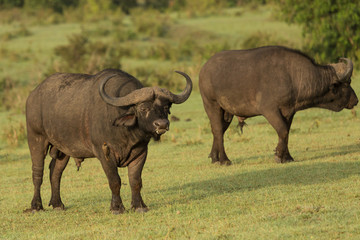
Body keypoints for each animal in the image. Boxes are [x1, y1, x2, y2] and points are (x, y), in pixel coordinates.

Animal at [24, 68, 194, 213]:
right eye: (143, 108)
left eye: (166, 107)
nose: (162, 124)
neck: (125, 133)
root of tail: (33, 96)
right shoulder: (104, 153)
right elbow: (115, 180)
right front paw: (117, 208)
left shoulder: (141, 153)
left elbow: (135, 180)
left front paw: (139, 206)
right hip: (36, 139)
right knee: (37, 172)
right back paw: (35, 206)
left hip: (63, 149)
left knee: (55, 172)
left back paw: (58, 204)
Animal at [198, 45, 358, 165]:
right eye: (347, 83)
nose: (356, 100)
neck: (293, 76)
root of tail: (204, 68)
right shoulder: (270, 110)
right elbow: (282, 130)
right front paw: (278, 155)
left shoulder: (289, 111)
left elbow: (286, 132)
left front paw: (287, 157)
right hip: (211, 105)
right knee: (218, 130)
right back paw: (224, 160)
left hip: (227, 113)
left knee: (218, 131)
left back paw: (214, 157)